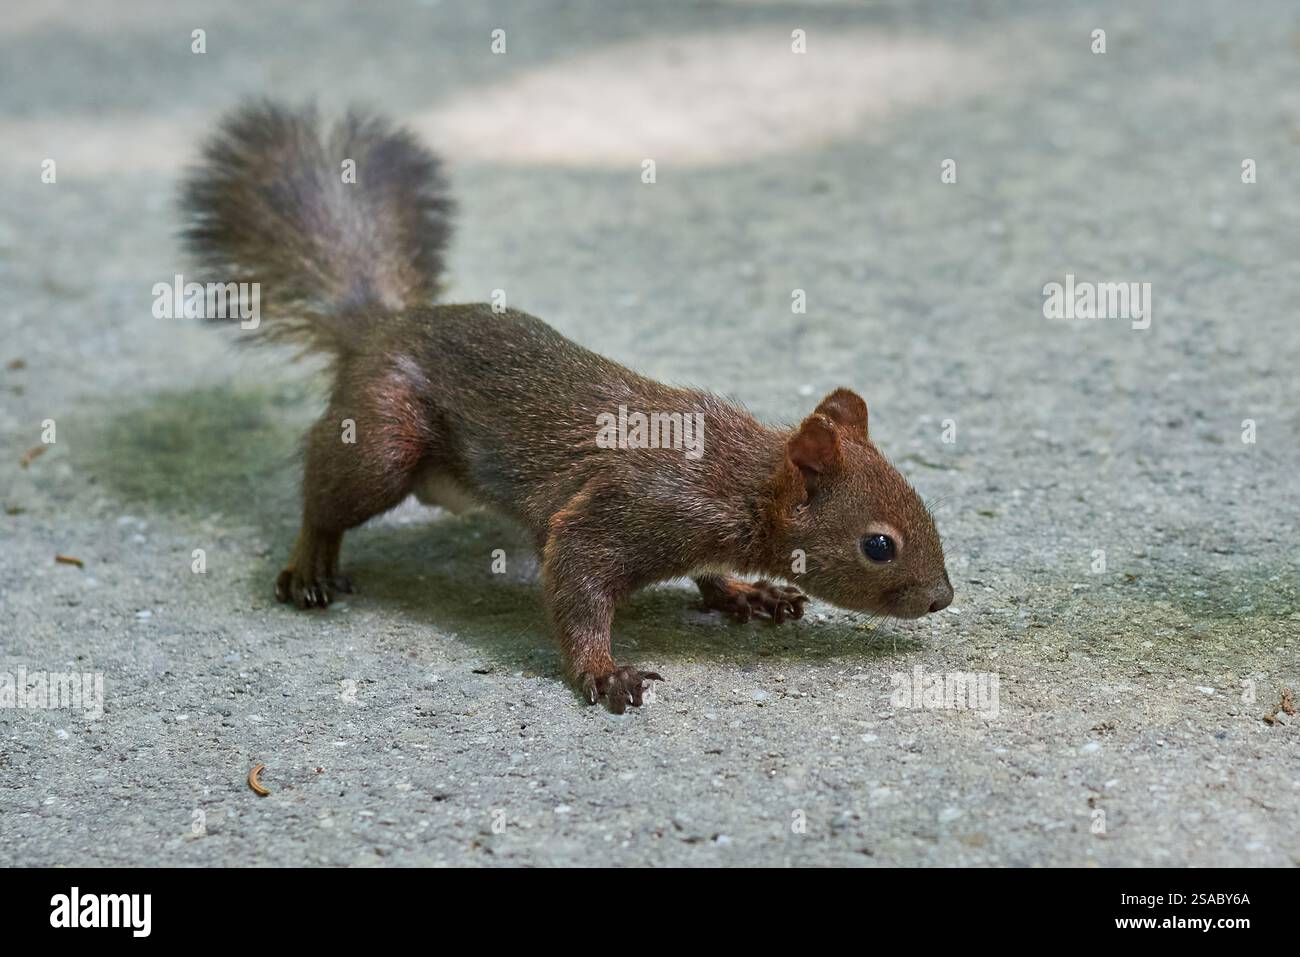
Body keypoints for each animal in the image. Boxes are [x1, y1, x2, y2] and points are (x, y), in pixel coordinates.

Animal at [181, 100, 953, 713]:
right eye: (878, 544)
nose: (942, 598)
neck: (739, 481)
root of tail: (377, 330)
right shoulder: (629, 508)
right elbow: (577, 579)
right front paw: (604, 673)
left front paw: (744, 591)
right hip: (382, 439)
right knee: (325, 493)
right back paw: (310, 565)